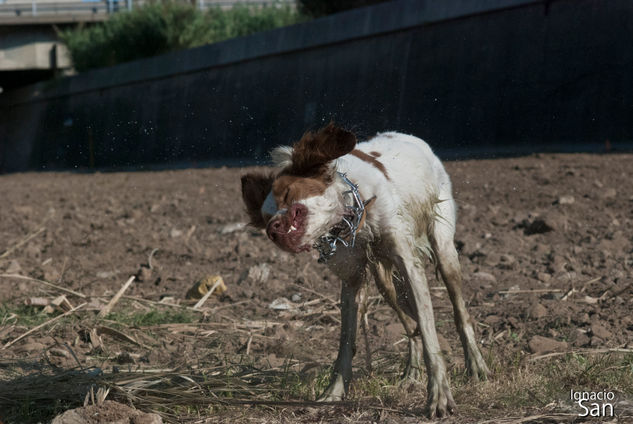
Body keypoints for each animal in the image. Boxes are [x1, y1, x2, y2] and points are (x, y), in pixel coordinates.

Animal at [241, 122, 488, 418]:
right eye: (265, 218)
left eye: (288, 195)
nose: (273, 229)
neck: (356, 218)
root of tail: (412, 138)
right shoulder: (352, 279)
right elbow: (346, 343)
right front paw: (334, 393)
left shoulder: (409, 265)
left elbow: (430, 336)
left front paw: (439, 395)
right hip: (386, 283)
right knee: (411, 326)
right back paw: (411, 373)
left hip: (444, 250)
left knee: (459, 313)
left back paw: (476, 365)